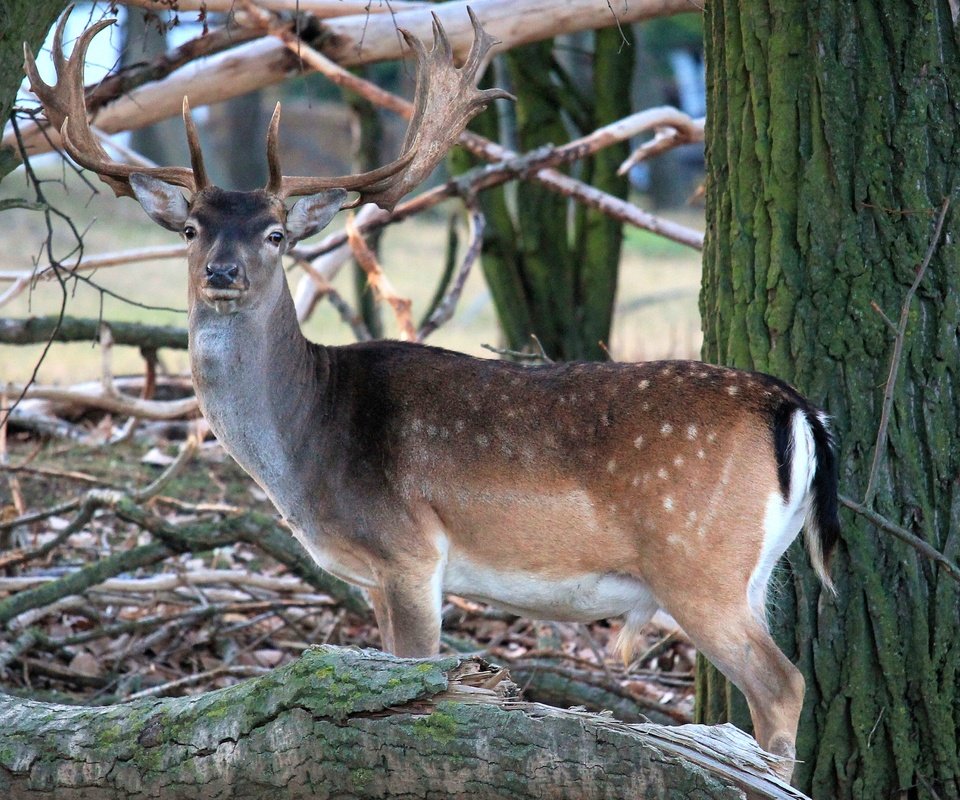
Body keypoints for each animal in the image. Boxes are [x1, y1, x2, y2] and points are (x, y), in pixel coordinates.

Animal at [26, 7, 840, 780]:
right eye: (192, 228)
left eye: (276, 234)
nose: (222, 273)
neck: (306, 444)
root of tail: (795, 407)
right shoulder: (374, 576)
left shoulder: (409, 551)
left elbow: (416, 680)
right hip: (752, 570)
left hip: (696, 558)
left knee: (784, 684)